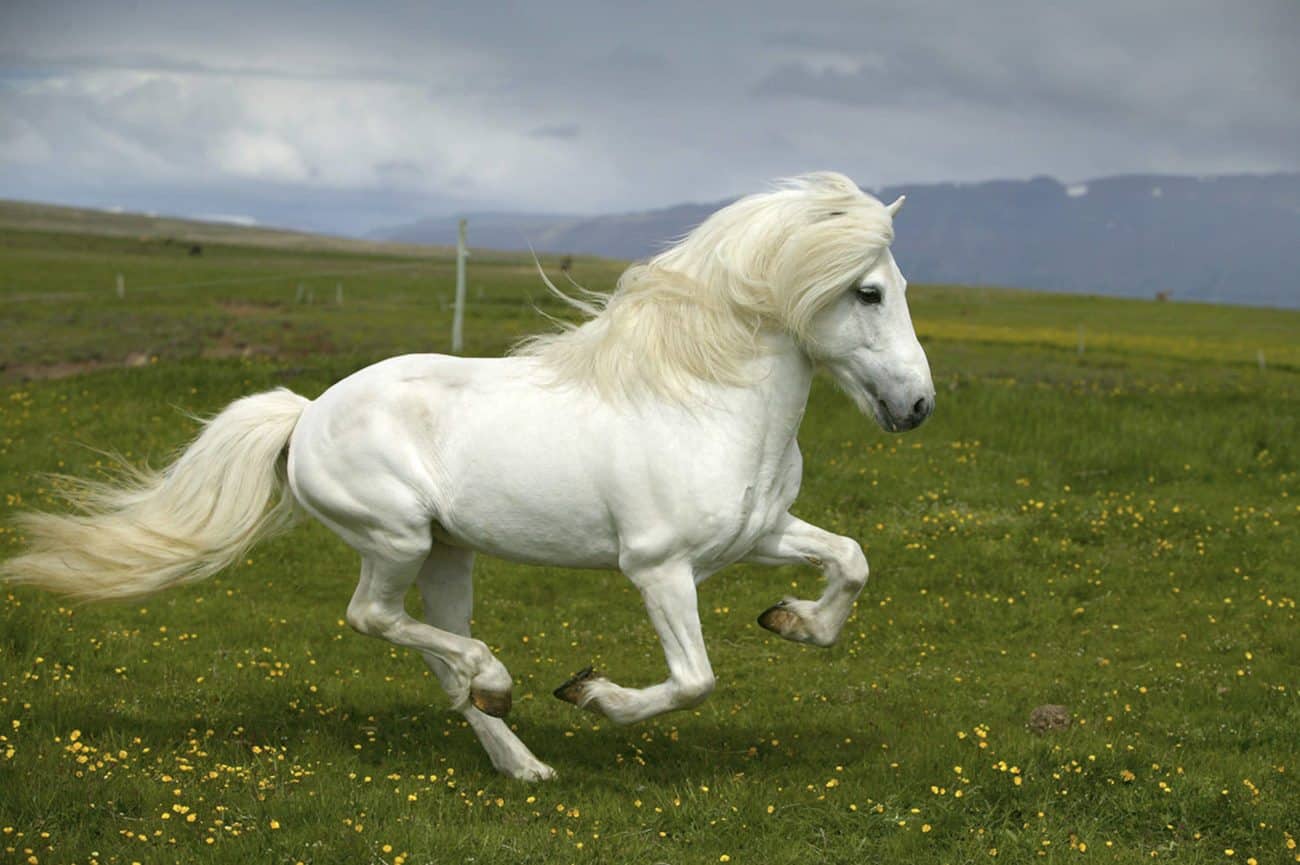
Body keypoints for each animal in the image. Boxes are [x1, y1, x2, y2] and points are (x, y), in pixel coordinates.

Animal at [2, 172, 934, 781]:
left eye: (900, 285)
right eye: (868, 292)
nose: (918, 405)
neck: (703, 400)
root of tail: (305, 414)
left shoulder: (758, 533)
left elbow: (852, 559)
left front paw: (793, 621)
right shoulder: (658, 566)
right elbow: (694, 681)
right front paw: (593, 693)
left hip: (449, 554)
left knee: (437, 661)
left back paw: (523, 760)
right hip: (397, 536)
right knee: (376, 619)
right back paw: (503, 683)